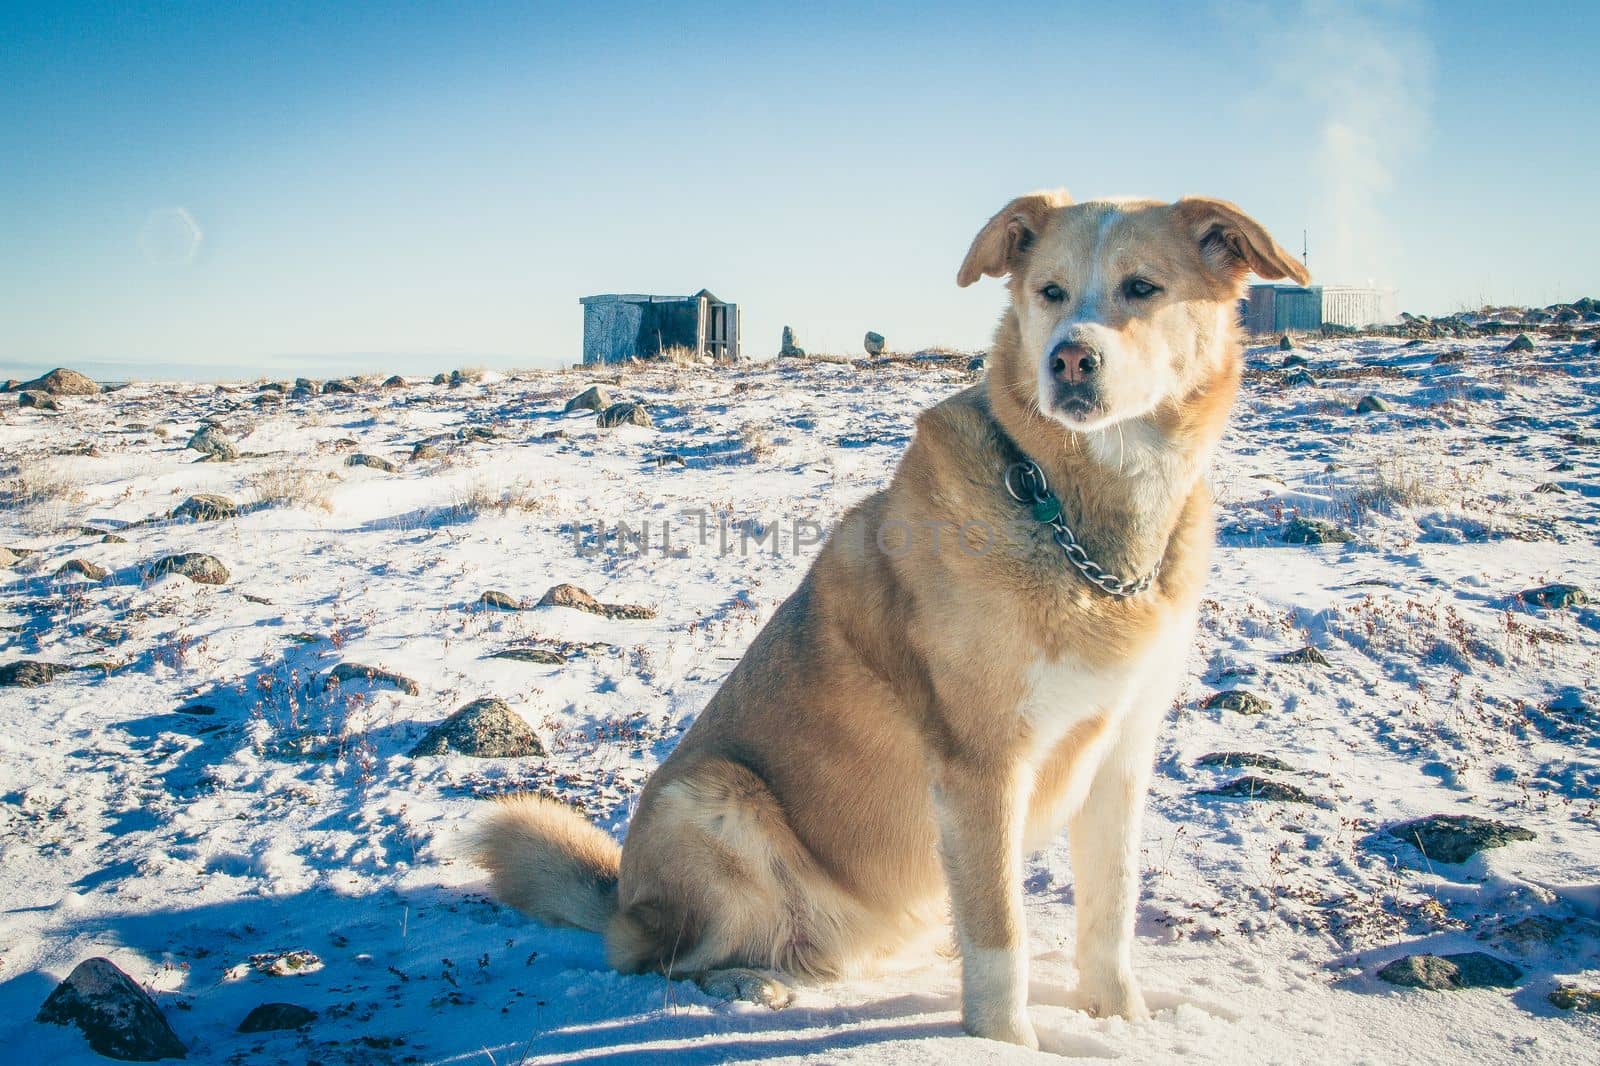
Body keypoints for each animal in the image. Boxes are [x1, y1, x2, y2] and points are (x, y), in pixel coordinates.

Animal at [473, 191, 1312, 1043]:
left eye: (1142, 287)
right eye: (1050, 291)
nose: (1070, 360)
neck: (1069, 513)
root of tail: (625, 896)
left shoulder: (1120, 755)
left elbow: (1110, 912)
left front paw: (1123, 1021)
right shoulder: (982, 767)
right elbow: (1000, 932)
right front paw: (1003, 1044)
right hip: (711, 800)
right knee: (663, 959)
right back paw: (749, 981)